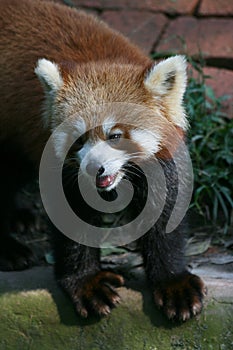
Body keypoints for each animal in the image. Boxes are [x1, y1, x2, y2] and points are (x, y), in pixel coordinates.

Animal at [0, 0, 206, 322]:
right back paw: (10, 249)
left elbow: (164, 216)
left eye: (115, 135)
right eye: (79, 139)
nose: (92, 167)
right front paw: (88, 284)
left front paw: (174, 283)